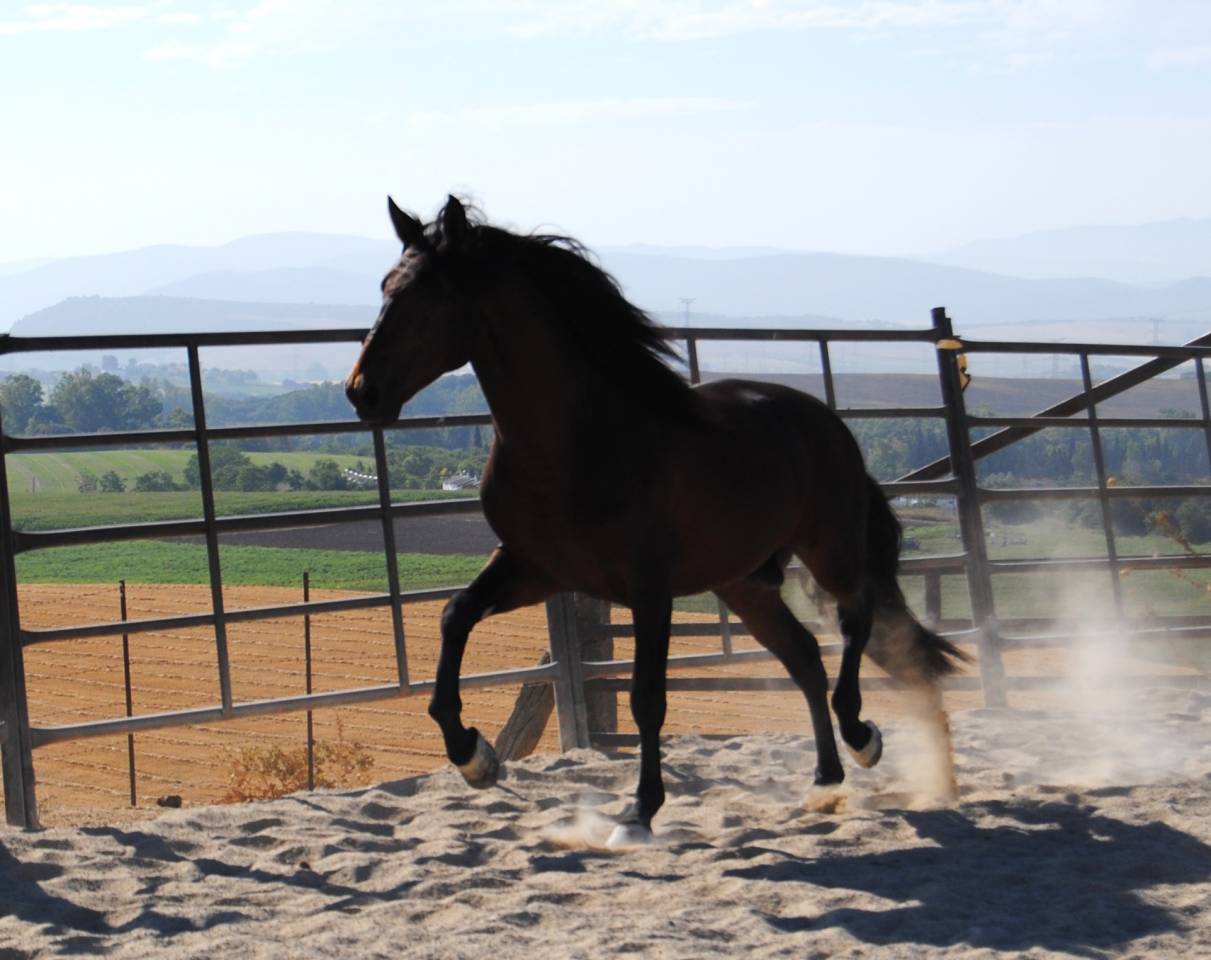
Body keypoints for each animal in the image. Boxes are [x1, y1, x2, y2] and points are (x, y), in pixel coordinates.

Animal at [346, 195, 967, 847]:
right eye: (385, 287)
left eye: (423, 297)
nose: (361, 392)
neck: (574, 442)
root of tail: (826, 421)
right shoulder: (534, 568)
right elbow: (454, 615)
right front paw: (474, 757)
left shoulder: (649, 590)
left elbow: (647, 698)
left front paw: (638, 814)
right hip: (744, 583)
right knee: (803, 657)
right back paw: (825, 781)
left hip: (829, 549)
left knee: (856, 621)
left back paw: (864, 739)